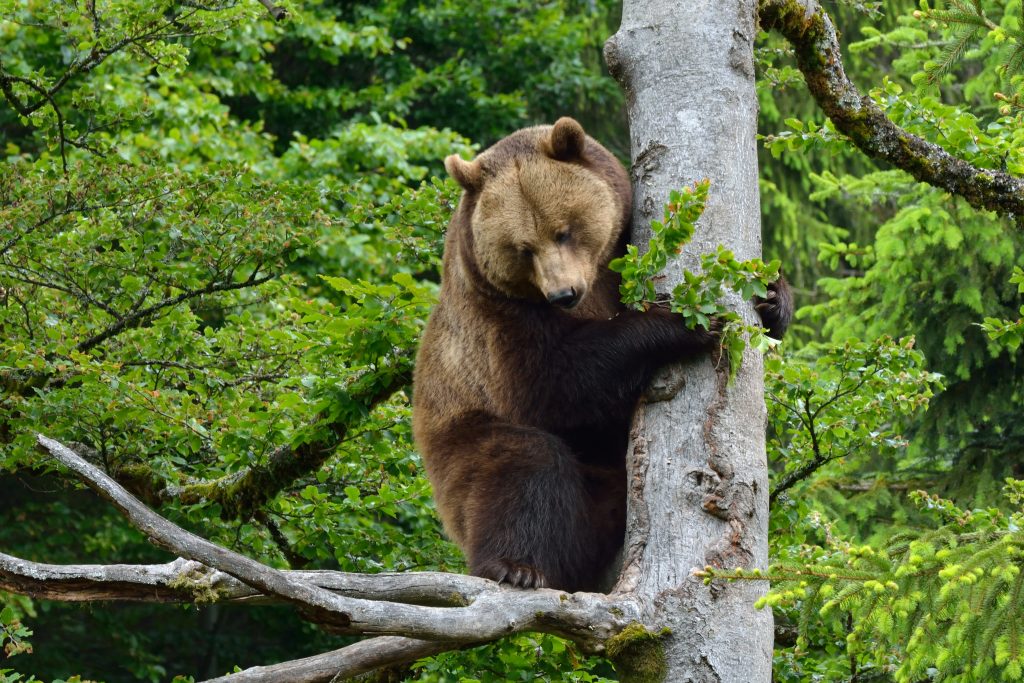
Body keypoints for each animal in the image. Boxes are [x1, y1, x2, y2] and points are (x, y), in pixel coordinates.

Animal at [409, 117, 790, 593]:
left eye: (564, 230)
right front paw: (684, 323)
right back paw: (515, 566)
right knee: (521, 464)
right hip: (458, 436)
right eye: (522, 248)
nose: (564, 293)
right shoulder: (497, 317)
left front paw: (773, 297)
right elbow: (556, 381)